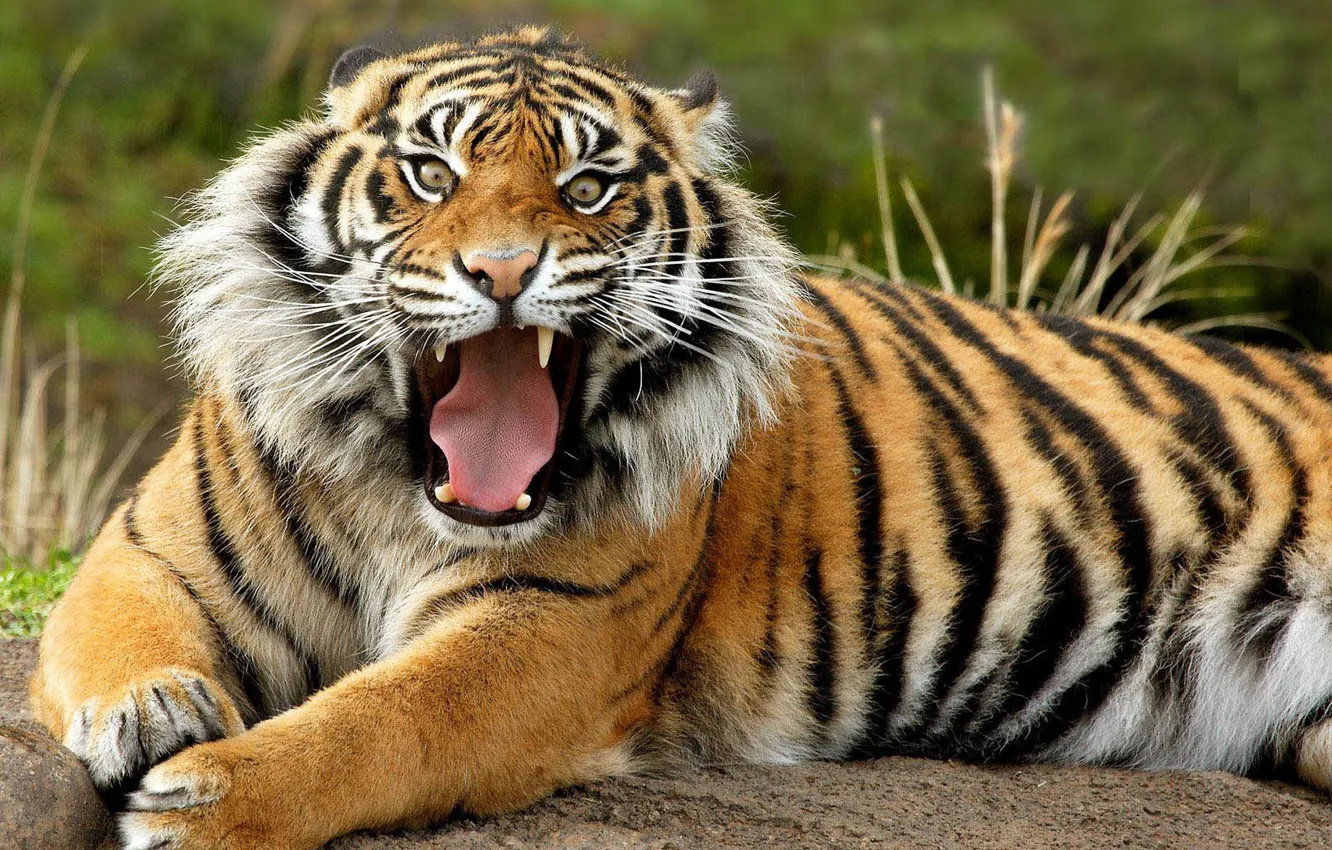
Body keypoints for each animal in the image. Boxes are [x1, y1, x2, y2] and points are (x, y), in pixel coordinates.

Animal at [26, 25, 1332, 850]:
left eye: (588, 188)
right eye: (431, 172)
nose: (503, 271)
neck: (399, 487)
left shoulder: (547, 627)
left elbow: (381, 722)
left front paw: (206, 802)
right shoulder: (147, 545)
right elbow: (113, 632)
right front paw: (149, 712)